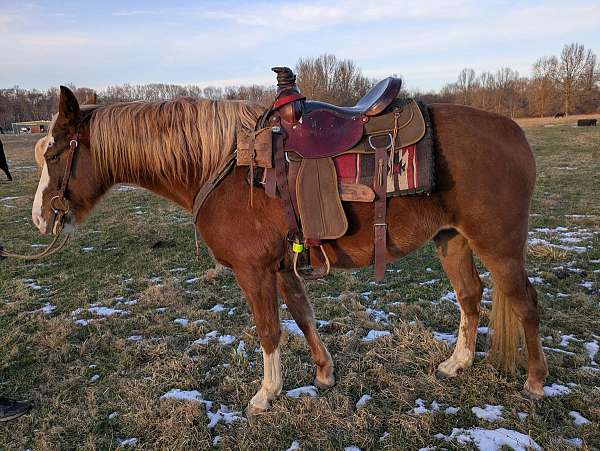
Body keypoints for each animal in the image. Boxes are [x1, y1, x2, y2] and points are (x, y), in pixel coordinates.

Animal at [32, 86, 548, 414]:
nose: (41, 217)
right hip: (452, 240)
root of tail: (515, 132)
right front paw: (323, 375)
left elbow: (269, 330)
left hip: (499, 246)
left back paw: (536, 382)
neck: (227, 165)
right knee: (470, 296)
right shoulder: (283, 266)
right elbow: (303, 316)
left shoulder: (253, 270)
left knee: (524, 301)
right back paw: (457, 364)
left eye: (54, 153)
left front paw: (267, 394)